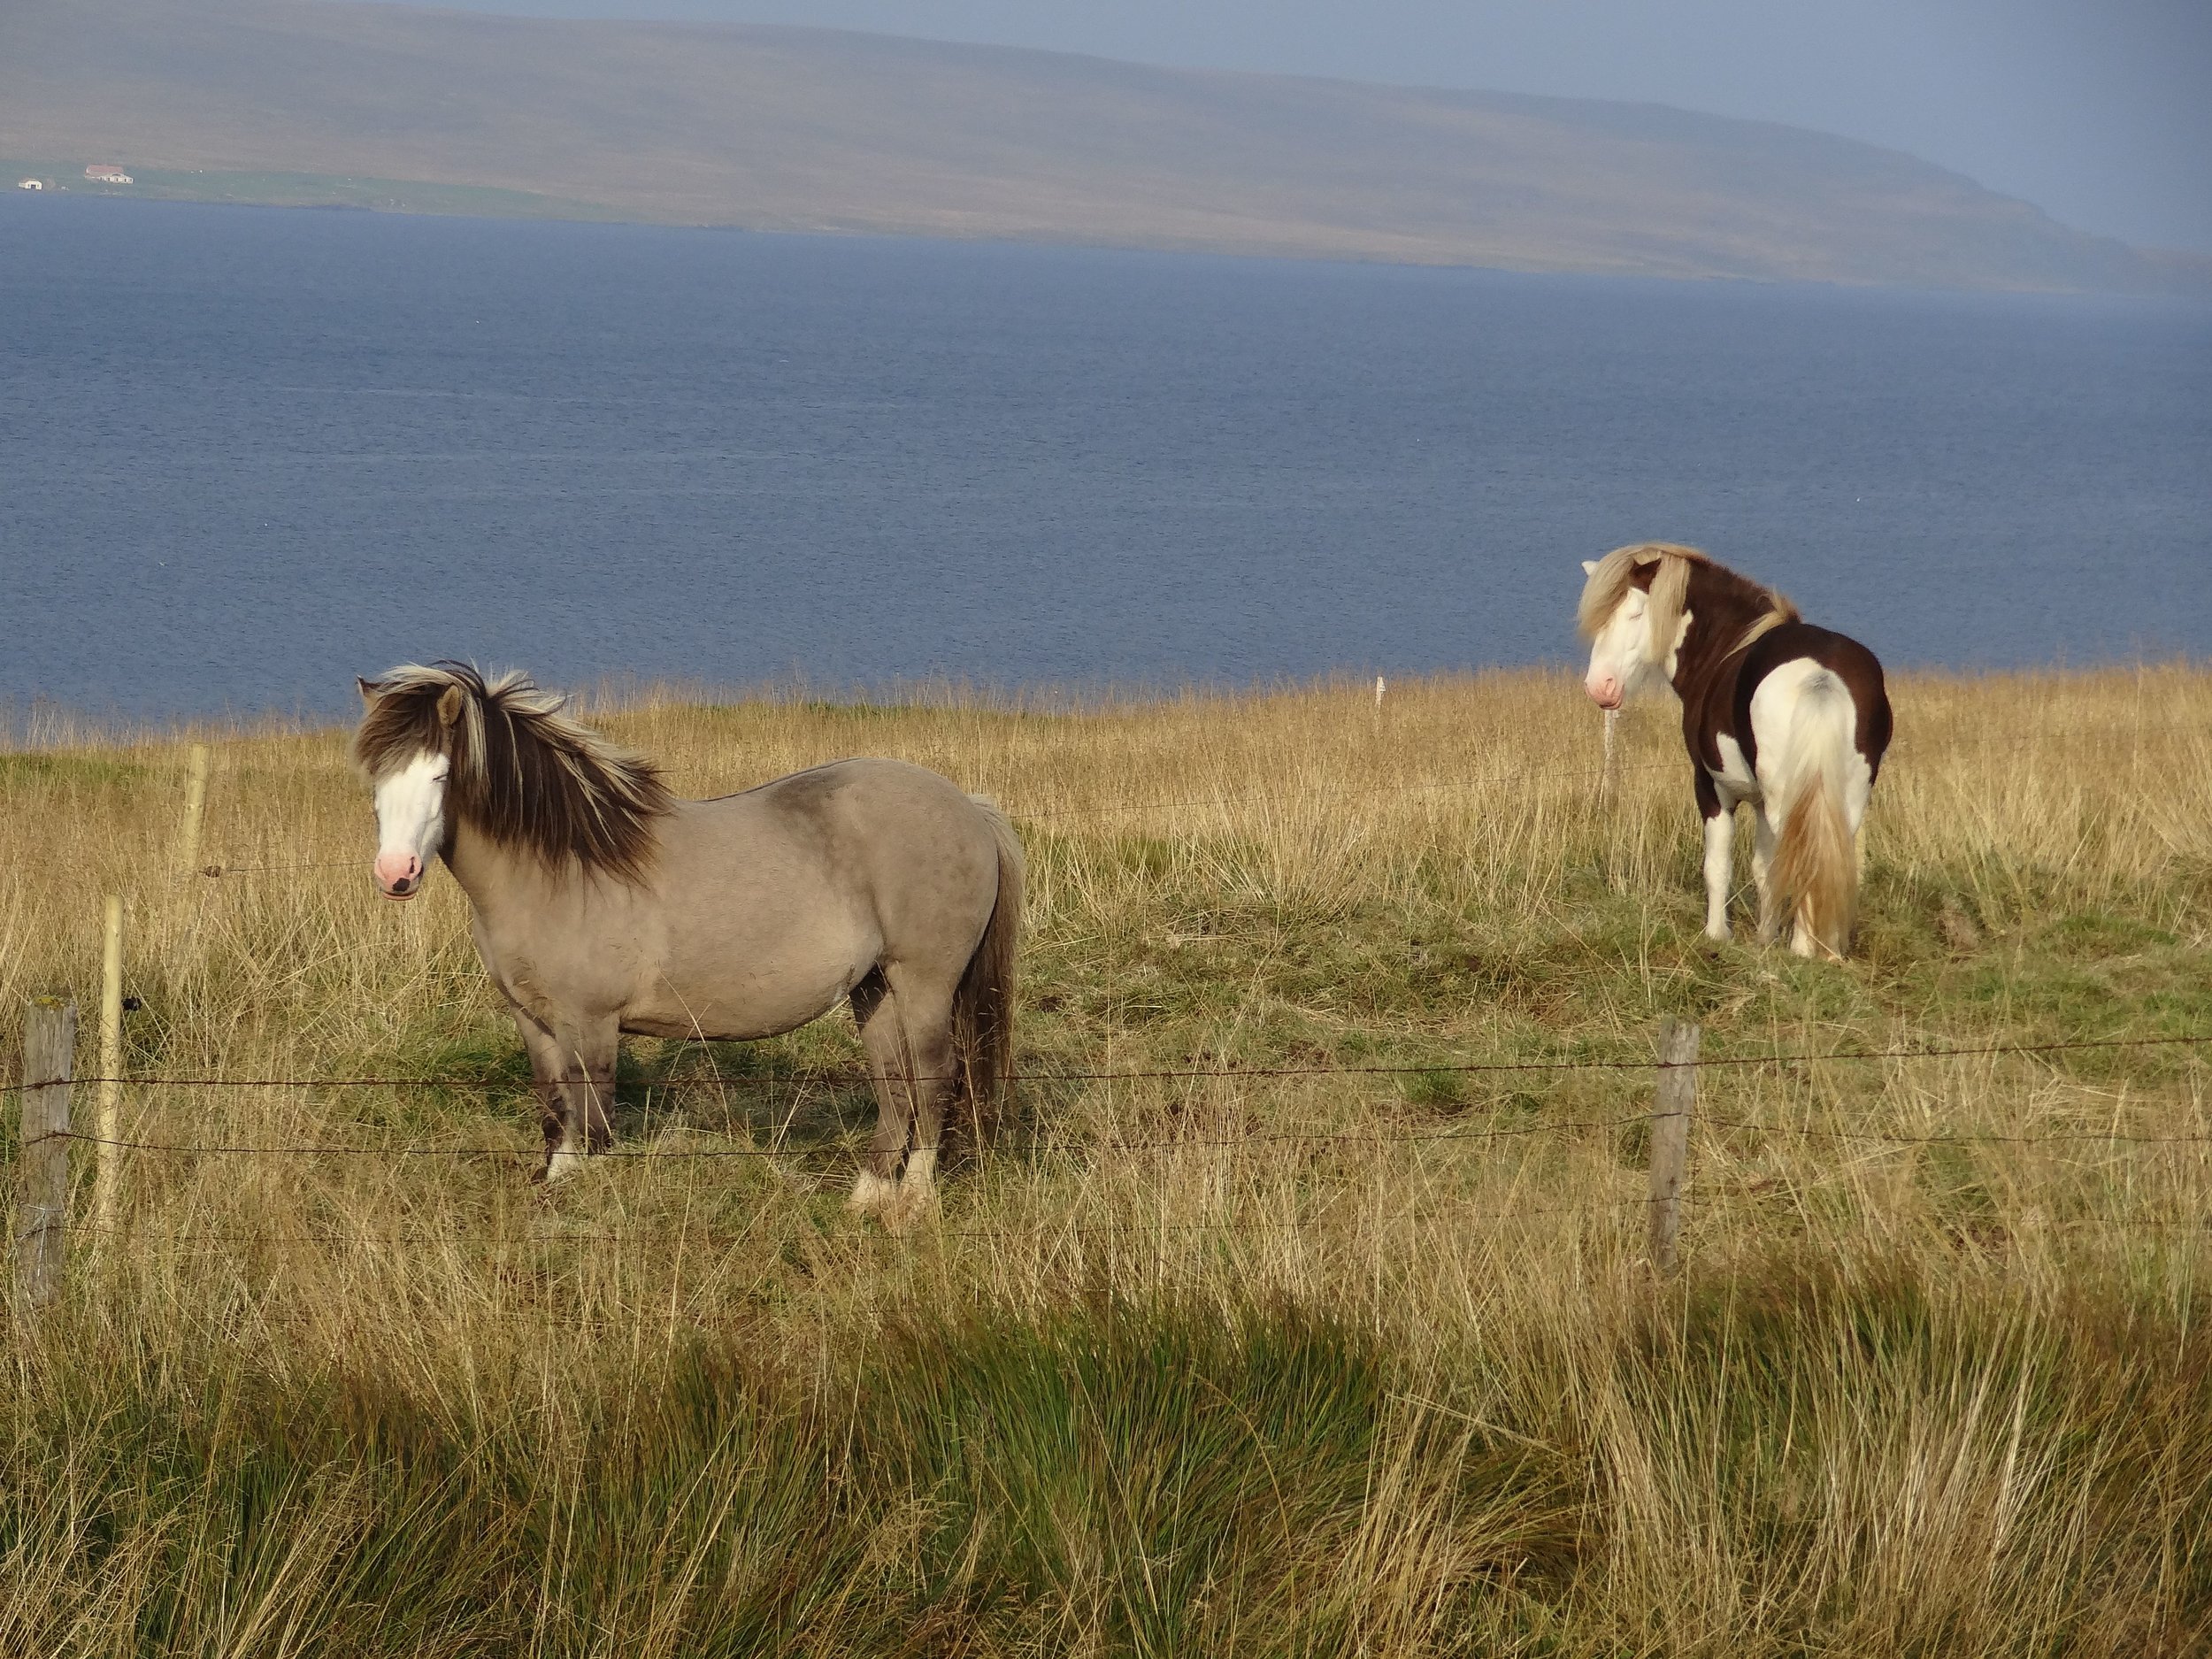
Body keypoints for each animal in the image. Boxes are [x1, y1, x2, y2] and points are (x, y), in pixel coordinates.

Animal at [349, 664, 1022, 1221]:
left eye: (440, 773)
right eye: (375, 777)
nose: (396, 874)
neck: (563, 866)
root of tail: (969, 807)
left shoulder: (591, 1023)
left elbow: (594, 1122)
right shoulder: (533, 1019)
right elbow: (556, 1110)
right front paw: (556, 1188)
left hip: (923, 980)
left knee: (934, 1076)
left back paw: (914, 1198)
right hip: (874, 987)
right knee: (893, 1082)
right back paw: (868, 1194)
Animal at [1575, 546, 1902, 960]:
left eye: (1635, 613)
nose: (1599, 687)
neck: (1727, 645)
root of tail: (1821, 674)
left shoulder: (1713, 788)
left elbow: (1718, 866)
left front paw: (1717, 934)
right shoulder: (1761, 802)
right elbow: (1765, 869)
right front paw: (1765, 937)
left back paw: (1802, 949)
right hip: (1849, 797)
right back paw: (1826, 949)